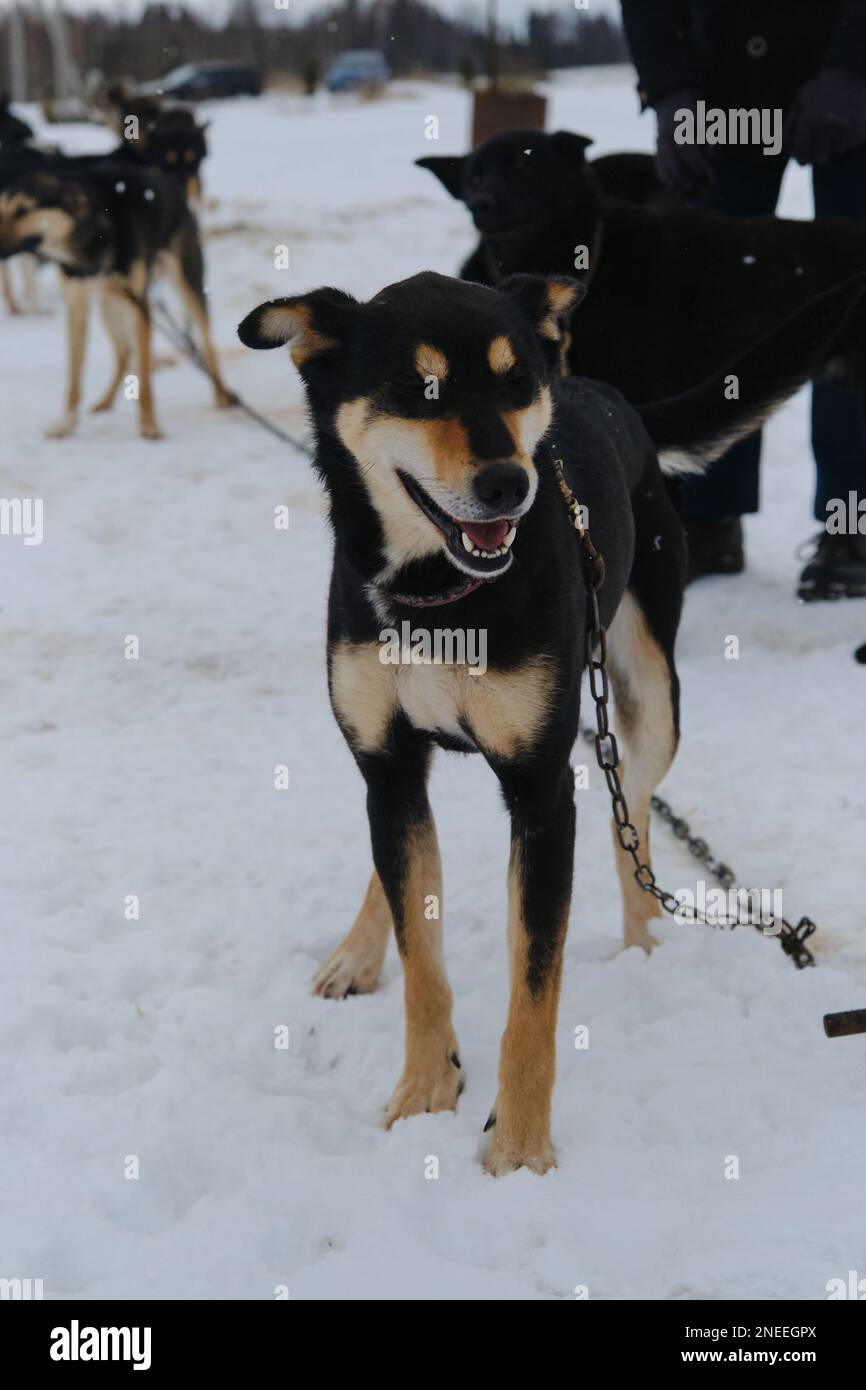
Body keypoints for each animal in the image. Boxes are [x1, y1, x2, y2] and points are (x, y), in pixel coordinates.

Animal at [239, 268, 866, 1173]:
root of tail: (609, 395)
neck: (440, 594)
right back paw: (360, 949)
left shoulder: (541, 790)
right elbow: (421, 955)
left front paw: (521, 1147)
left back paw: (645, 938)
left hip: (647, 688)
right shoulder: (388, 763)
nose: (509, 483)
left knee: (630, 805)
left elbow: (534, 993)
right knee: (402, 867)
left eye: (514, 382)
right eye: (419, 388)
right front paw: (422, 1094)